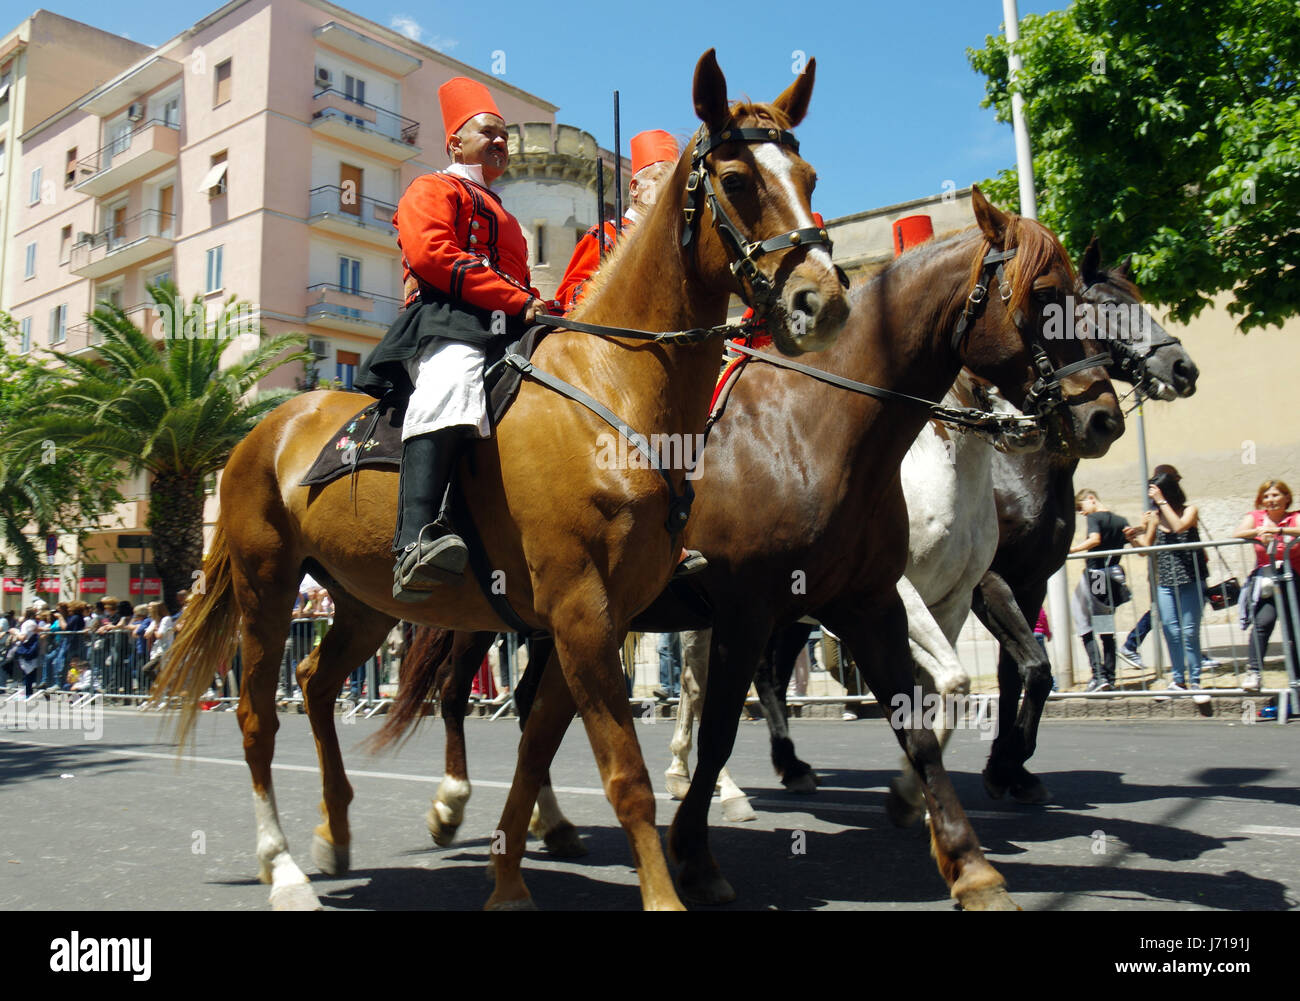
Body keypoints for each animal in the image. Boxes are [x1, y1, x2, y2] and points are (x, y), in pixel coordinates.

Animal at [149, 54, 852, 915]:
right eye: (738, 178)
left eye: (809, 175)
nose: (823, 301)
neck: (611, 387)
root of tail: (268, 428)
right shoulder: (581, 610)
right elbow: (624, 772)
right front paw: (661, 894)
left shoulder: (595, 616)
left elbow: (535, 747)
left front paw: (510, 875)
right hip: (268, 587)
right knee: (258, 714)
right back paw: (282, 864)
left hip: (363, 599)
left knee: (315, 685)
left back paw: (334, 830)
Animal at [379, 189, 1123, 915]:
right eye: (1045, 294)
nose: (1102, 418)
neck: (817, 426)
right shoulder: (758, 605)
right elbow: (722, 728)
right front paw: (694, 849)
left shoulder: (893, 599)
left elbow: (926, 707)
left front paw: (962, 849)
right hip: (507, 612)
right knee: (458, 693)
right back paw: (456, 805)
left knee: (539, 705)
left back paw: (551, 822)